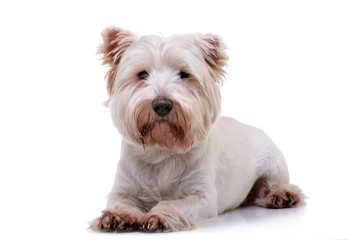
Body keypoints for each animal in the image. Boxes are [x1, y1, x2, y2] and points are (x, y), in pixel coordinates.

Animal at [91, 26, 306, 232]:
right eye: (142, 74)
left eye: (184, 74)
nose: (162, 105)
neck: (162, 150)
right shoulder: (123, 188)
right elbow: (120, 202)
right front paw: (116, 216)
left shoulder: (203, 196)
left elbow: (175, 204)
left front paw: (159, 216)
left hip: (274, 165)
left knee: (276, 185)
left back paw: (282, 196)